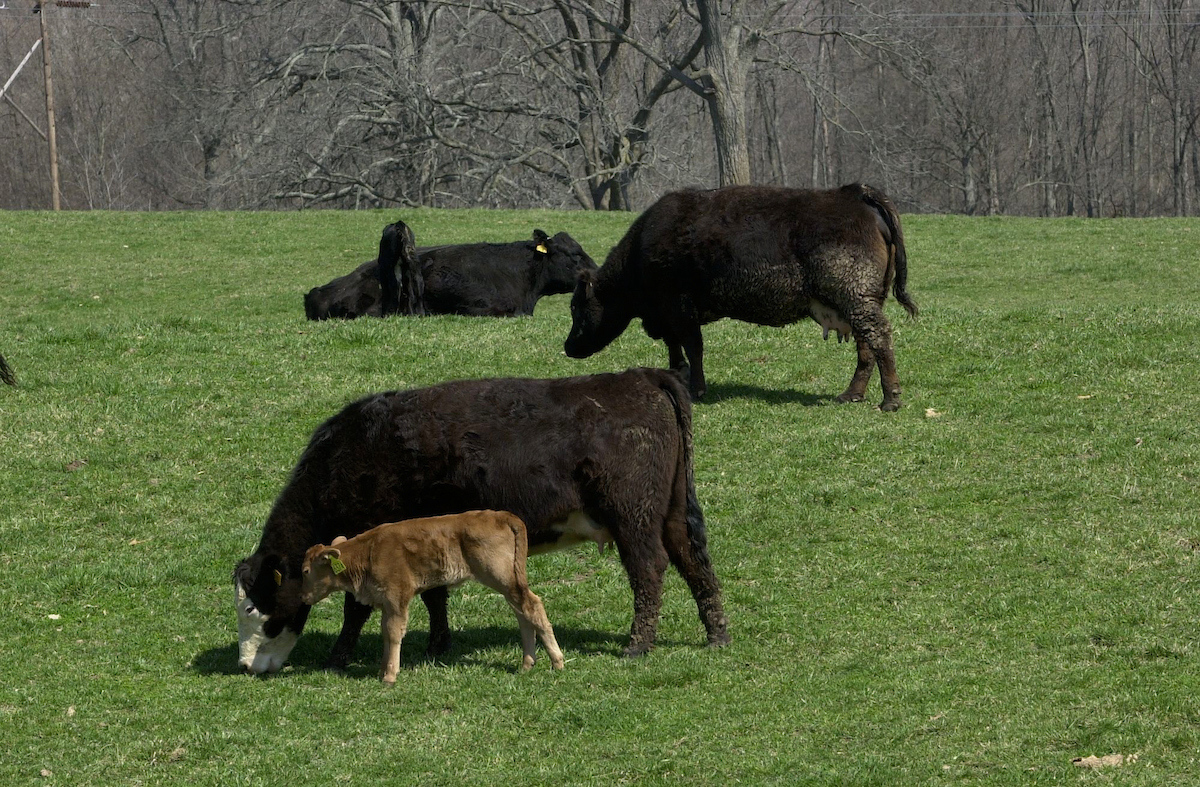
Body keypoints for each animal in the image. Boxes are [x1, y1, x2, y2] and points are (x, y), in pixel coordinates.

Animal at [297, 511, 564, 681]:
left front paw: (390, 676)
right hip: (510, 584)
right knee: (522, 613)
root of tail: (500, 515)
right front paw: (383, 670)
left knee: (532, 606)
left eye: (306, 571)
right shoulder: (386, 603)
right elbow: (386, 632)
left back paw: (557, 662)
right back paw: (527, 664)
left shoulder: (397, 598)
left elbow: (394, 632)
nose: (303, 598)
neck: (368, 551)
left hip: (502, 578)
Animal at [561, 183, 916, 412]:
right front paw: (678, 376)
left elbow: (693, 346)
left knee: (879, 338)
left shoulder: (679, 306)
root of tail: (853, 193)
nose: (568, 346)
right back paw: (852, 394)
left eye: (577, 306)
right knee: (866, 347)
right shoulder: (667, 314)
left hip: (856, 298)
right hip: (861, 301)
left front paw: (697, 388)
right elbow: (675, 348)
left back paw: (891, 399)